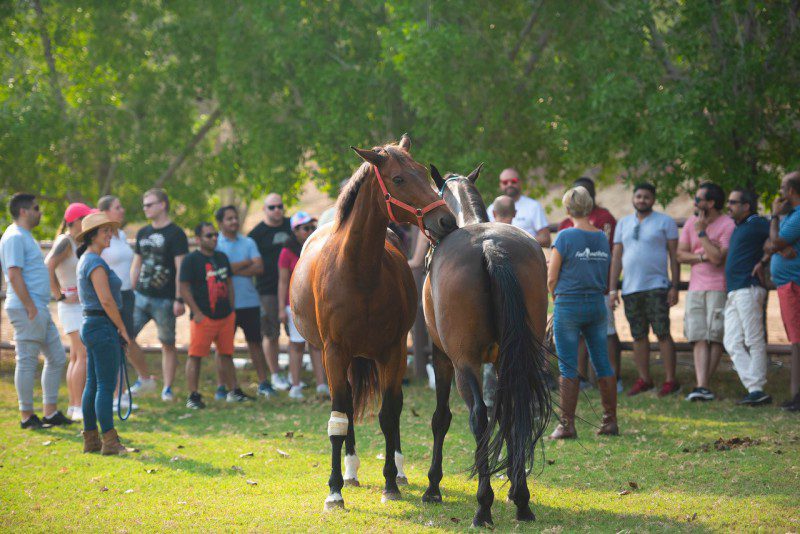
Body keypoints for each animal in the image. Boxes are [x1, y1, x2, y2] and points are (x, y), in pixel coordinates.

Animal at [290, 136, 460, 512]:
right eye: (398, 179)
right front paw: (334, 490)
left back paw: (396, 471)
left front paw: (390, 482)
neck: (358, 273)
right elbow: (339, 418)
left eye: (423, 172)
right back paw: (350, 470)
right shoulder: (334, 352)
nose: (446, 221)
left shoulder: (392, 351)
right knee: (347, 405)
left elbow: (389, 414)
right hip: (342, 357)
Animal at [422, 165, 552, 528]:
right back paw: (521, 500)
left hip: (464, 364)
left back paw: (483, 507)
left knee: (478, 416)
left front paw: (433, 487)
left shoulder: (443, 357)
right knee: (515, 410)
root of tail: (490, 244)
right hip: (517, 357)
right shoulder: (499, 360)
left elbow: (441, 418)